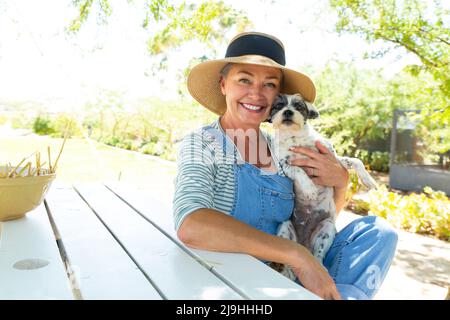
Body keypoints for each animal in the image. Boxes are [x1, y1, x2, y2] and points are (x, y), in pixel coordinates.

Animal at [268, 93, 378, 280]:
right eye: (278, 106)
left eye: (299, 106)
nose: (288, 112)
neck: (295, 138)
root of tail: (304, 245)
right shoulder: (285, 165)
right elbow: (299, 170)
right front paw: (310, 189)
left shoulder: (333, 159)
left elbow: (356, 160)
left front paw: (368, 180)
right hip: (285, 228)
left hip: (326, 230)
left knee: (318, 255)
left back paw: (319, 268)